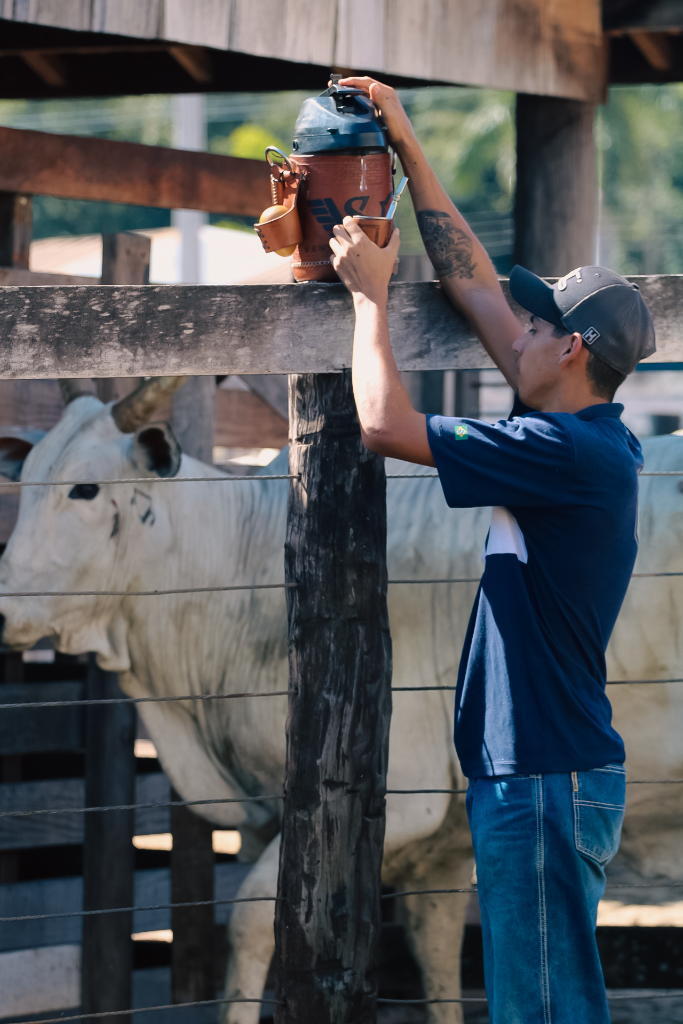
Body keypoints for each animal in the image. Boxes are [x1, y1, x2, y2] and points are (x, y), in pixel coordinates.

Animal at [0, 380, 679, 1019]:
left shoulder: (402, 801)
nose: (5, 610)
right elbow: (437, 956)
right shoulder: (437, 844)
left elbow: (252, 922)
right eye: (26, 482)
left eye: (85, 490)